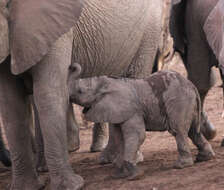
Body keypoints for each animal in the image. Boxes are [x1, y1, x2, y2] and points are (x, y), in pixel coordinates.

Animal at [68, 63, 215, 180]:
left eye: (80, 91)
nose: (72, 65)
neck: (104, 82)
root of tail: (191, 85)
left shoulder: (132, 110)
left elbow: (138, 135)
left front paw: (134, 175)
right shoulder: (118, 112)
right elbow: (119, 138)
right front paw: (119, 175)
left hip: (178, 102)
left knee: (178, 130)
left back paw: (180, 166)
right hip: (188, 103)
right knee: (193, 131)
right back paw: (204, 158)